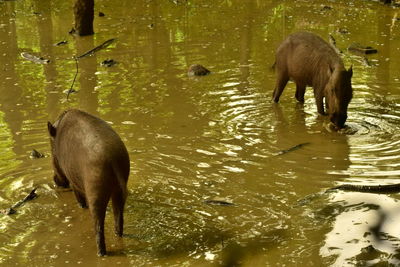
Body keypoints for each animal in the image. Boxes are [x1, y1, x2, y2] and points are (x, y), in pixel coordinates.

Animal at [47, 109, 130, 258]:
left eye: (51, 151)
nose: (55, 181)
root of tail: (112, 158)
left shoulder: (73, 181)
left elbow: (80, 200)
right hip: (119, 191)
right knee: (118, 219)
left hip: (95, 192)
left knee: (98, 227)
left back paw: (101, 254)